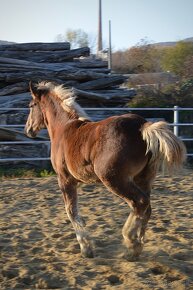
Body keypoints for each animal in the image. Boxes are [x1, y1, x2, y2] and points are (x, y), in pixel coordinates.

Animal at [24, 81, 186, 258]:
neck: (63, 127)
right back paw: (138, 246)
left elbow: (71, 211)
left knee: (140, 202)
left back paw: (130, 240)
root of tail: (142, 126)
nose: (28, 130)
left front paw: (86, 248)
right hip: (143, 179)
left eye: (31, 105)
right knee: (146, 208)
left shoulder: (65, 179)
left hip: (114, 179)